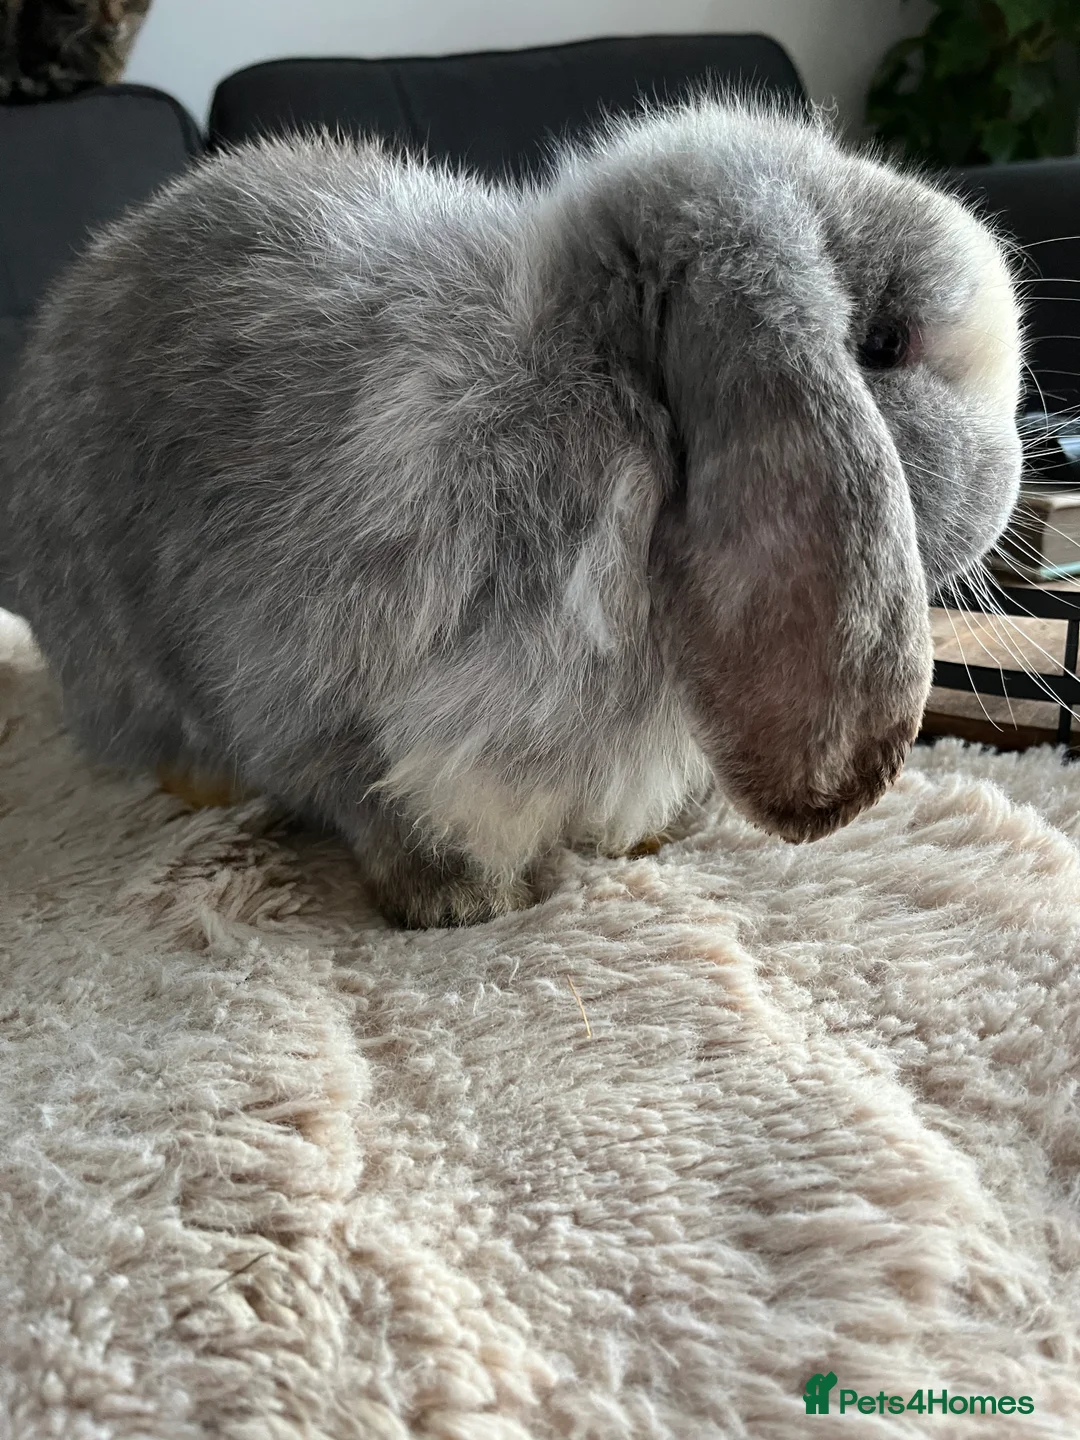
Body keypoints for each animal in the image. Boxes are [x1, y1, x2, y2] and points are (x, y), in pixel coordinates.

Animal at [0, 99, 1023, 928]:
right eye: (881, 343)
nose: (1008, 482)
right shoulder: (306, 685)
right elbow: (372, 800)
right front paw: (462, 902)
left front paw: (635, 840)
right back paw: (200, 785)